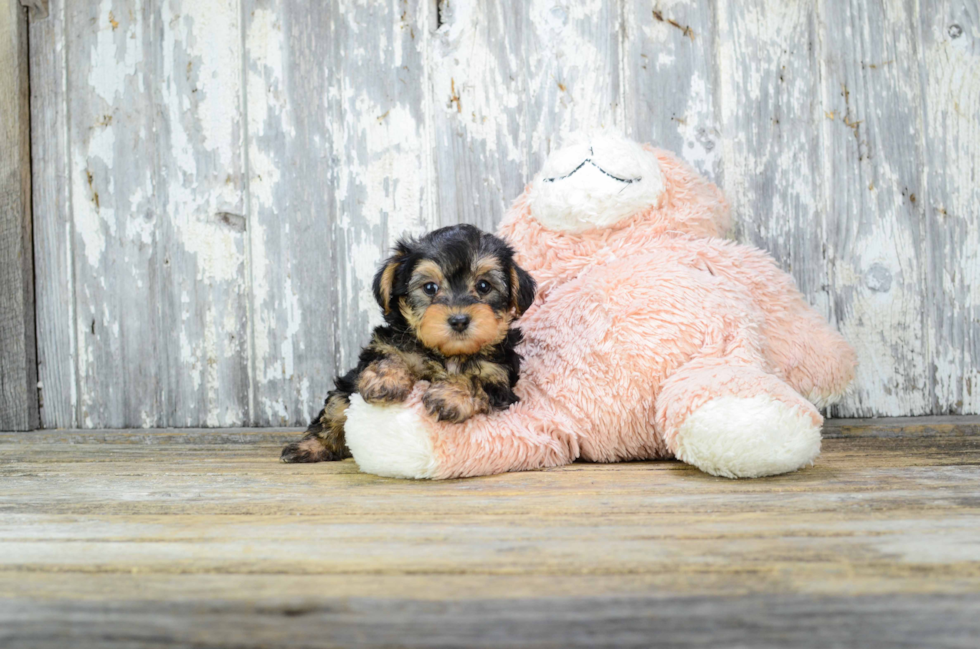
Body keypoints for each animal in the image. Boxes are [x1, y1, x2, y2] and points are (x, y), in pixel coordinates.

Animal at [280, 223, 536, 460]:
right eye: (430, 287)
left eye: (484, 286)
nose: (459, 320)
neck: (447, 354)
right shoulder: (386, 345)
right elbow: (389, 357)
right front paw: (386, 380)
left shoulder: (499, 378)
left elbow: (476, 380)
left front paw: (450, 396)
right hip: (345, 389)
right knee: (335, 410)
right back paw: (309, 447)